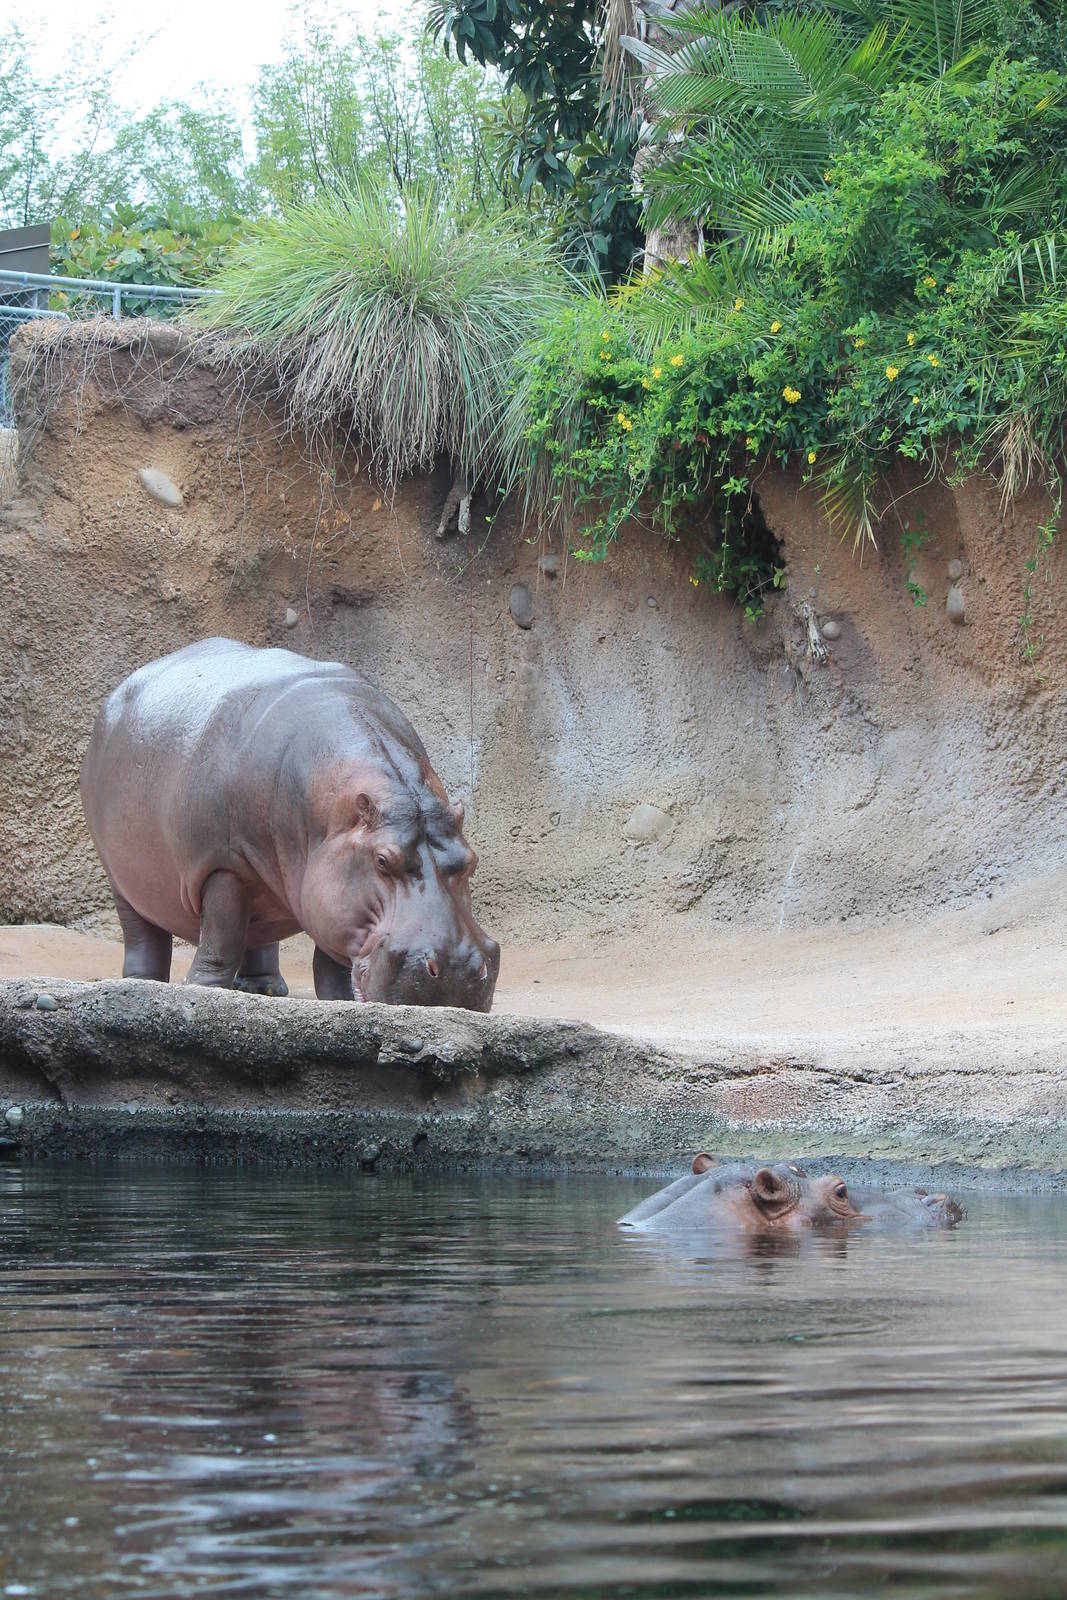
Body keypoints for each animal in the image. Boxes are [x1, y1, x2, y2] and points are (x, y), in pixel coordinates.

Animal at [81, 638, 500, 1008]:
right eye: (382, 860)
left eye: (472, 860)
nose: (456, 970)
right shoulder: (223, 865)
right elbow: (221, 934)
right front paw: (201, 988)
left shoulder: (330, 886)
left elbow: (331, 954)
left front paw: (338, 1000)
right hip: (120, 875)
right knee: (144, 931)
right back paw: (142, 980)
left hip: (271, 883)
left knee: (258, 933)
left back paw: (264, 988)